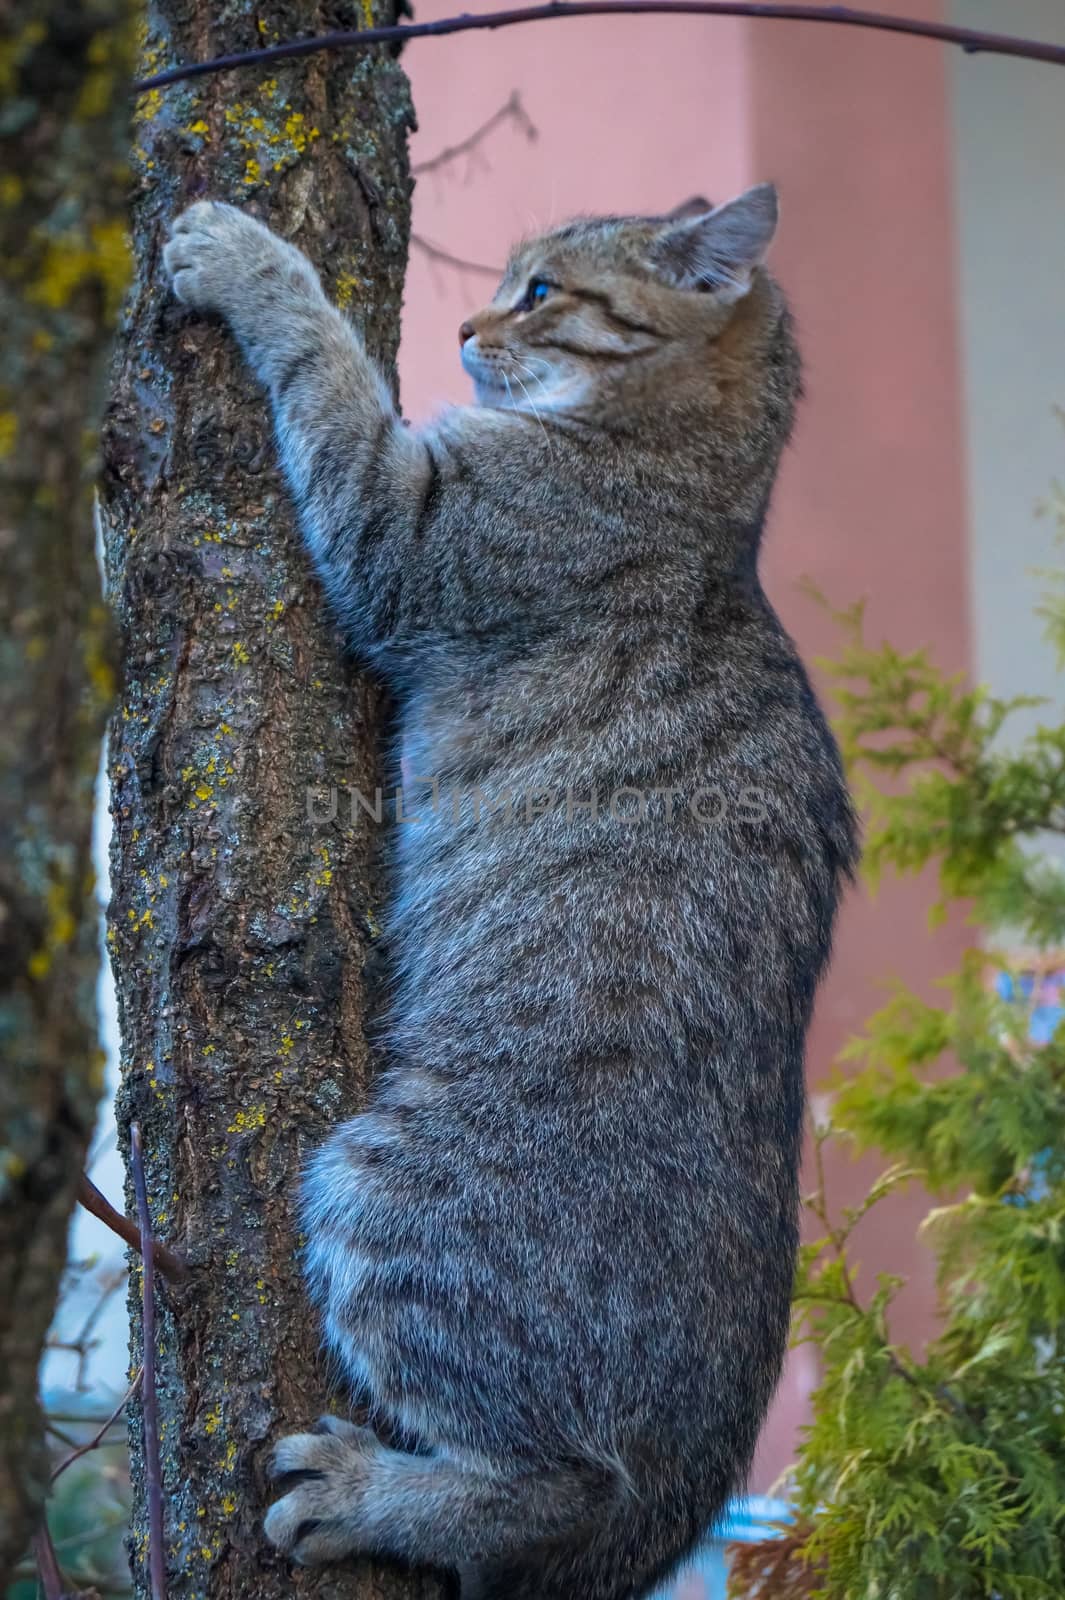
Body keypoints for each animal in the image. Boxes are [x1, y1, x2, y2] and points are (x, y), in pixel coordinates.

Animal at [167, 181, 863, 1593]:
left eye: (541, 289)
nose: (468, 327)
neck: (690, 473)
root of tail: (685, 1499)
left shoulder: (407, 528)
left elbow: (327, 364)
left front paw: (249, 257)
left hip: (382, 1188)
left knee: (552, 1486)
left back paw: (371, 1493)